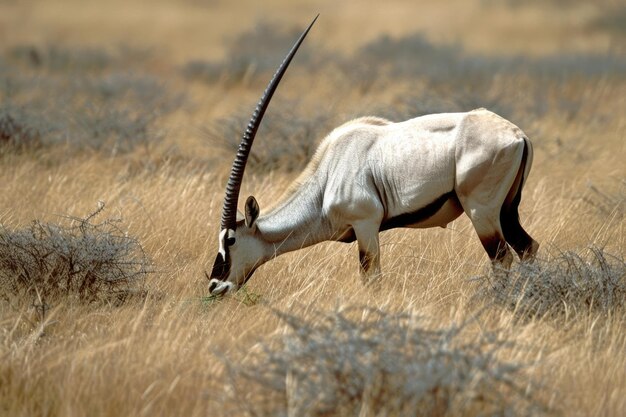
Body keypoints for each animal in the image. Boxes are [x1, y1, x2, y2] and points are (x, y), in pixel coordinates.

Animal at [205, 16, 536, 296]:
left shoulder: (366, 225)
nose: (214, 285)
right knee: (527, 249)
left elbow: (371, 277)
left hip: (482, 211)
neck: (326, 179)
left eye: (230, 240)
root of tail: (517, 134)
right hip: (507, 210)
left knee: (502, 258)